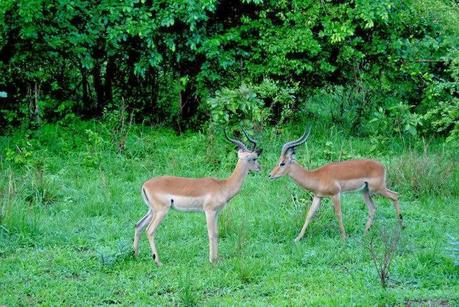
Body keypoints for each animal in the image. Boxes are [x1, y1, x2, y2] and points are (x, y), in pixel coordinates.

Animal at [133, 131, 262, 266]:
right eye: (254, 158)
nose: (260, 168)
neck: (222, 186)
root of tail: (145, 185)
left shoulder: (217, 213)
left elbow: (216, 233)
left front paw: (217, 259)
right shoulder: (209, 211)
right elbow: (211, 234)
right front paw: (212, 260)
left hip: (151, 211)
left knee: (138, 225)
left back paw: (135, 255)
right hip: (161, 211)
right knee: (149, 230)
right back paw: (158, 262)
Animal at [268, 128, 404, 243]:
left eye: (282, 163)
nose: (270, 175)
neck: (316, 176)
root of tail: (382, 166)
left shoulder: (335, 194)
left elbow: (339, 214)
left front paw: (343, 237)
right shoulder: (318, 197)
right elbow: (310, 214)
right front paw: (297, 238)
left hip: (378, 189)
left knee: (395, 195)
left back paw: (401, 226)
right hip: (365, 191)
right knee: (373, 208)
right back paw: (365, 234)